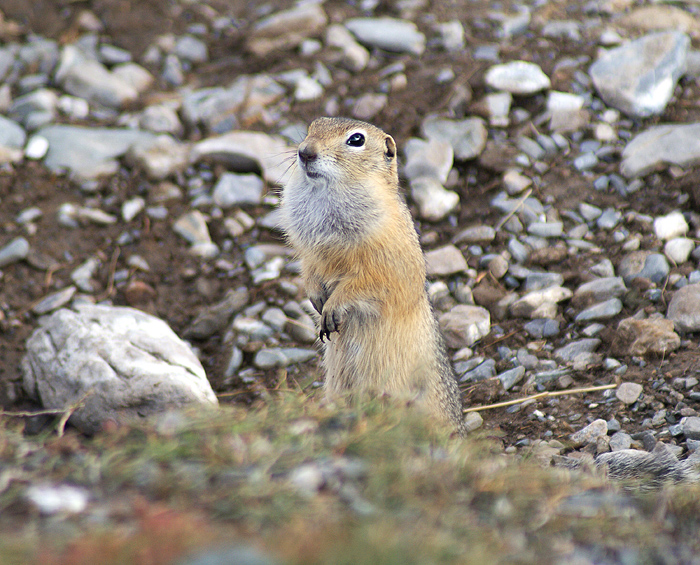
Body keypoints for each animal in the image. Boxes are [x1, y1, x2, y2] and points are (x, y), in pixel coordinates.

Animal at [282, 115, 468, 436]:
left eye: (356, 140)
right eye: (312, 126)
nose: (305, 152)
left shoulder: (381, 262)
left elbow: (365, 284)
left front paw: (332, 308)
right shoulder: (310, 252)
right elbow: (310, 270)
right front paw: (315, 297)